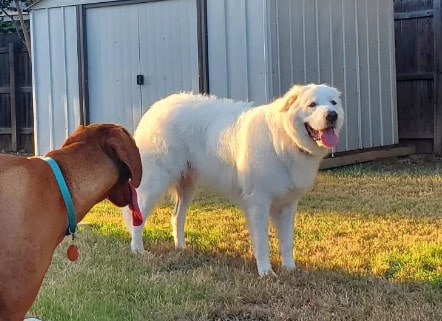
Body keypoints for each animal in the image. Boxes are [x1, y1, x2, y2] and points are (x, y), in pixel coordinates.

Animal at [123, 83, 346, 276]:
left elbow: (287, 241)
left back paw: (181, 247)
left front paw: (290, 269)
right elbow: (263, 243)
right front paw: (266, 272)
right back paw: (138, 250)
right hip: (156, 181)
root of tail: (156, 108)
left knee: (177, 216)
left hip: (187, 187)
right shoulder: (259, 203)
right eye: (312, 104)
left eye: (333, 103)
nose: (332, 115)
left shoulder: (288, 204)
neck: (283, 139)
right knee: (138, 215)